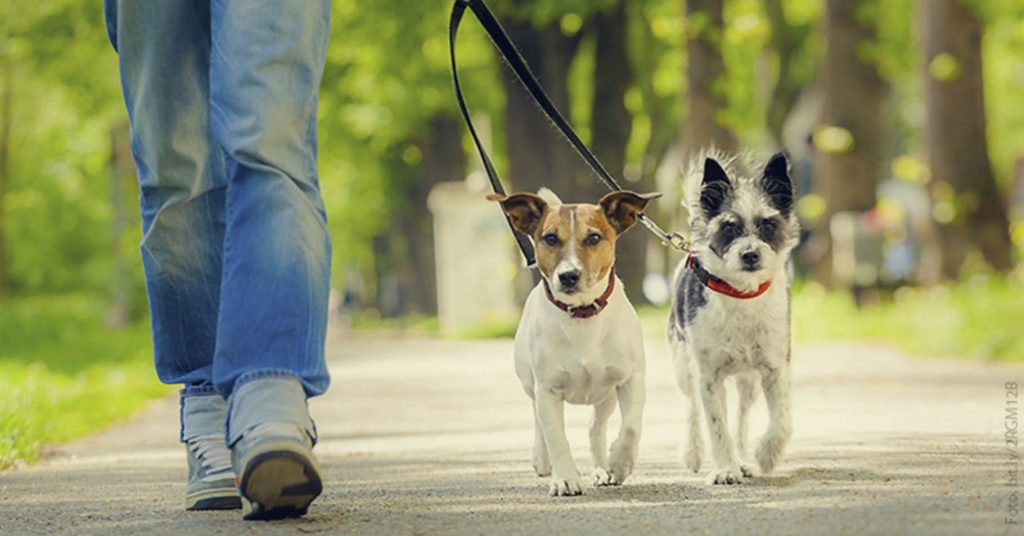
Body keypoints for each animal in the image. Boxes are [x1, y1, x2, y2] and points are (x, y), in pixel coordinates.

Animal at [489, 189, 663, 500]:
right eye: (550, 238)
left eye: (593, 238)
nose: (568, 275)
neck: (582, 315)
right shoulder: (547, 390)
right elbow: (557, 438)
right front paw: (566, 479)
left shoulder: (631, 380)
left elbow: (631, 427)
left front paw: (619, 463)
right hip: (531, 385)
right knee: (538, 420)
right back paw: (542, 459)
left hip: (606, 396)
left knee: (596, 428)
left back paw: (602, 469)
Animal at [667, 150, 802, 485]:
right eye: (729, 227)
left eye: (768, 224)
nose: (750, 254)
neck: (741, 295)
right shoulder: (708, 376)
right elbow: (716, 426)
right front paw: (724, 469)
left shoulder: (775, 368)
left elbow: (782, 422)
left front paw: (765, 456)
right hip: (684, 367)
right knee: (692, 408)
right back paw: (694, 452)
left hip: (748, 382)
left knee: (741, 418)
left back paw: (743, 459)